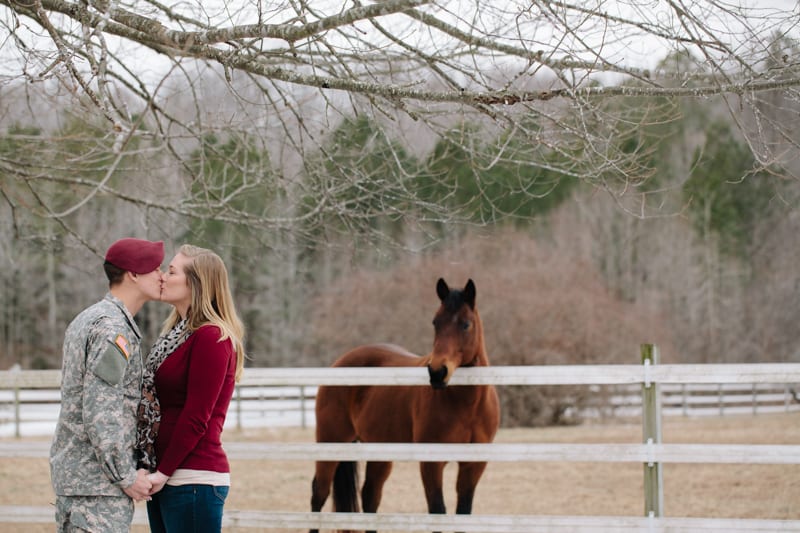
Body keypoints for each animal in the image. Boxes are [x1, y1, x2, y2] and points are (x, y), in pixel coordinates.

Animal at [310, 278, 496, 532]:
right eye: (435, 322)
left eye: (466, 324)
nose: (437, 372)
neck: (468, 406)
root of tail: (341, 362)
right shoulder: (431, 463)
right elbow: (437, 511)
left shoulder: (473, 465)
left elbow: (463, 514)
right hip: (332, 442)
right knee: (319, 493)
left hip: (379, 450)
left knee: (370, 496)